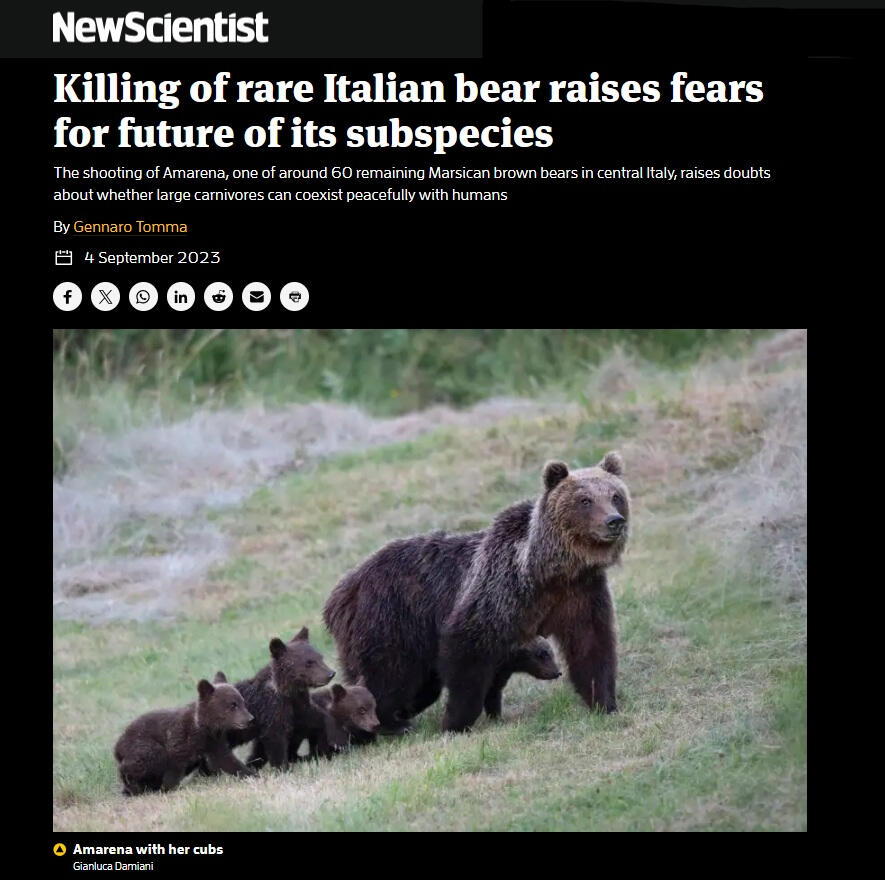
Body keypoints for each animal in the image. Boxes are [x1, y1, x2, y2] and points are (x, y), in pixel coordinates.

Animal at [114, 671, 255, 795]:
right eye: (232, 705)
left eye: (242, 702)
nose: (250, 719)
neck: (203, 727)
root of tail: (117, 745)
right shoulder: (180, 739)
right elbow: (174, 765)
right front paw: (168, 787)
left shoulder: (214, 743)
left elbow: (227, 760)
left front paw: (251, 774)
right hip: (140, 744)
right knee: (148, 756)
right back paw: (134, 787)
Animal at [225, 627, 336, 772]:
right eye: (308, 662)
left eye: (320, 657)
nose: (330, 674)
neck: (286, 691)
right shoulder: (272, 709)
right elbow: (275, 740)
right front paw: (283, 768)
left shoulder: (298, 707)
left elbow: (316, 718)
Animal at [323, 452, 630, 733]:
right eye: (585, 500)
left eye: (615, 496)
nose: (614, 521)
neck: (548, 571)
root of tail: (341, 591)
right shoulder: (498, 592)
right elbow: (468, 655)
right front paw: (455, 722)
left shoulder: (580, 594)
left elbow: (592, 644)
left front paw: (604, 702)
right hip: (390, 620)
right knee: (387, 675)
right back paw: (392, 722)